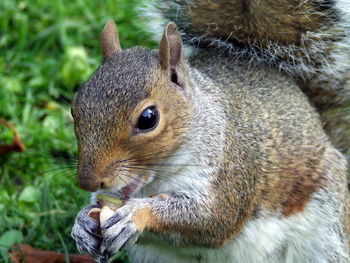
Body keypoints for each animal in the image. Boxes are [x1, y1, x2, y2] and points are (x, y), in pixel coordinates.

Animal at [72, 0, 350, 263]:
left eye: (148, 118)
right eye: (75, 108)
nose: (87, 181)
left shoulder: (232, 169)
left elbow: (212, 218)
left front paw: (136, 214)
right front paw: (82, 224)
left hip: (327, 224)